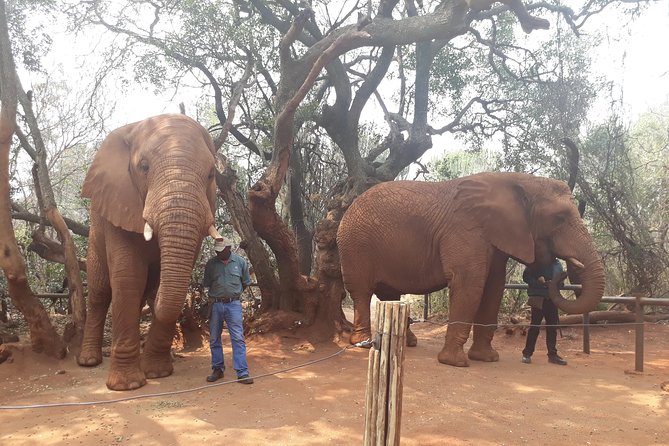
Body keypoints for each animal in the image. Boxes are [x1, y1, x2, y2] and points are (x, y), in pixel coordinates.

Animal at [77, 114, 222, 390]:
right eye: (143, 167)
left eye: (211, 174)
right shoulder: (119, 202)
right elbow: (128, 278)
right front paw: (127, 386)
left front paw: (157, 373)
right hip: (95, 232)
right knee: (100, 292)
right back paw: (88, 361)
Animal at [337, 172, 605, 367]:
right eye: (559, 218)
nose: (561, 271)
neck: (521, 180)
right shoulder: (466, 231)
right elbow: (470, 284)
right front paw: (454, 362)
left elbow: (493, 289)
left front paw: (487, 358)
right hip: (355, 245)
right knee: (361, 291)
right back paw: (364, 343)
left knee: (389, 294)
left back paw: (406, 342)